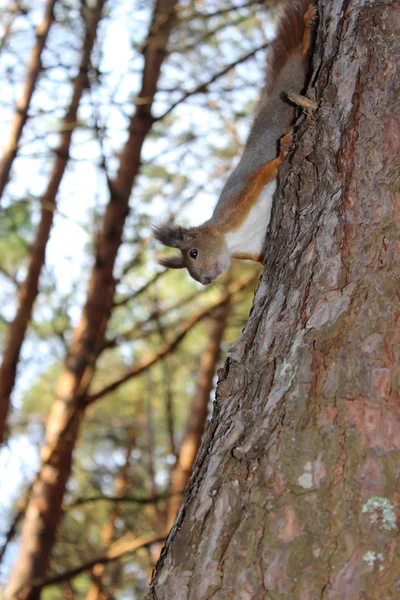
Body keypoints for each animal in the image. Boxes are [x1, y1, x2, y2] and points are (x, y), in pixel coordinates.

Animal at [153, 0, 316, 286]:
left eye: (193, 253)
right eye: (187, 268)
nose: (205, 280)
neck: (230, 238)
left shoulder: (238, 202)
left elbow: (263, 173)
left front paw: (282, 152)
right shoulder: (254, 246)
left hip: (297, 74)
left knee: (303, 53)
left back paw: (307, 28)